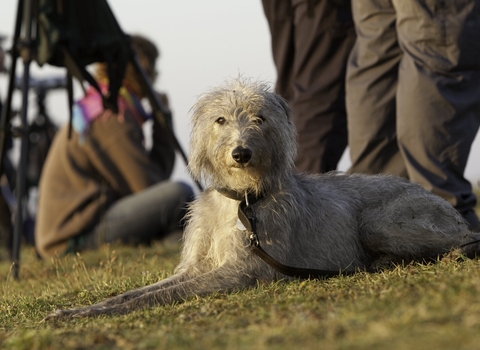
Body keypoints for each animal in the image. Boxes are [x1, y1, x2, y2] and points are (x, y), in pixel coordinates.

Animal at [44, 77, 476, 320]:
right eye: (220, 120)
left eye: (259, 119)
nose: (241, 153)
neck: (241, 200)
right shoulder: (196, 266)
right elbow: (139, 292)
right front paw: (75, 311)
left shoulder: (244, 271)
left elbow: (162, 295)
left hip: (382, 222)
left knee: (468, 240)